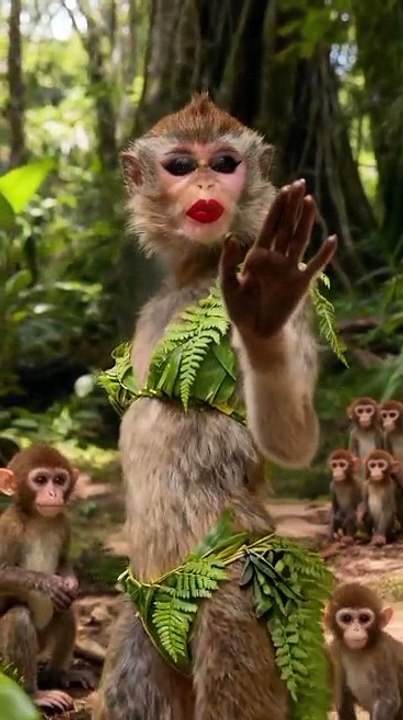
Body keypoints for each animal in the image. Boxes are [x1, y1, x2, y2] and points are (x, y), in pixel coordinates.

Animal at [0, 444, 93, 714]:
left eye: (59, 480)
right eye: (40, 480)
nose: (53, 493)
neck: (38, 521)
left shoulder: (63, 523)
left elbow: (64, 562)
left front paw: (70, 583)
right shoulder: (8, 529)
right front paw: (48, 582)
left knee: (66, 611)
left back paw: (59, 675)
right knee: (18, 617)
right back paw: (34, 694)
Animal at [95, 93, 337, 720]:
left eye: (225, 162)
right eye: (181, 166)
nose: (206, 182)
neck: (201, 268)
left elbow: (292, 435)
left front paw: (264, 310)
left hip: (242, 596)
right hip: (147, 627)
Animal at [325, 582, 403, 719]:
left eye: (364, 618)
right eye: (346, 618)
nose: (356, 629)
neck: (359, 651)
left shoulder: (382, 650)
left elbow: (388, 700)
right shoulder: (334, 648)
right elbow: (342, 698)